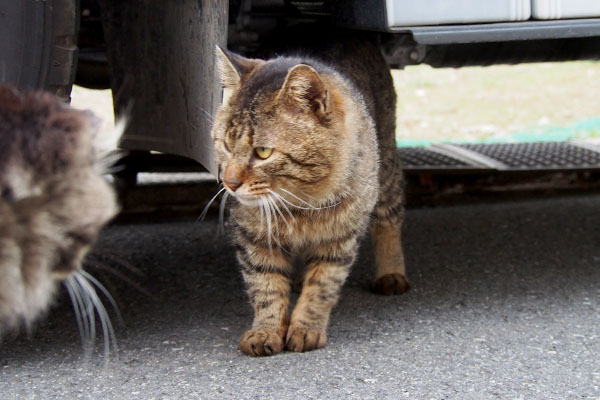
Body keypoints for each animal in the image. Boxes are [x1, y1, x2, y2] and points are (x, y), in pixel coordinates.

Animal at [211, 30, 408, 356]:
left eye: (262, 152)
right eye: (226, 144)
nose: (229, 183)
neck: (298, 202)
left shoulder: (340, 240)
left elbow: (321, 288)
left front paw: (305, 328)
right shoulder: (253, 236)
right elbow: (265, 286)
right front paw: (265, 331)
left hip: (386, 168)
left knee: (390, 217)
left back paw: (391, 272)